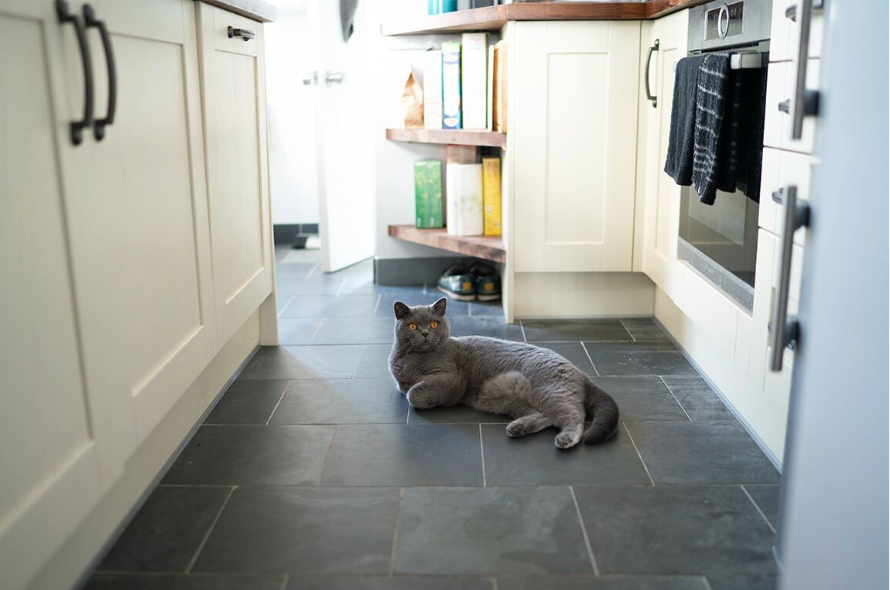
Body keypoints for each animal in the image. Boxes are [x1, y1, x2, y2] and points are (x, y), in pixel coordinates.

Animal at [388, 298, 616, 450]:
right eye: (413, 326)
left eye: (434, 324)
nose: (425, 333)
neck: (410, 360)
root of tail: (580, 372)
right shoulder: (401, 381)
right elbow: (404, 388)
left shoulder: (451, 378)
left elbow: (414, 394)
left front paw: (429, 401)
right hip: (507, 398)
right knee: (545, 416)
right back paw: (518, 428)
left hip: (548, 390)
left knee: (575, 416)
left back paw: (565, 439)